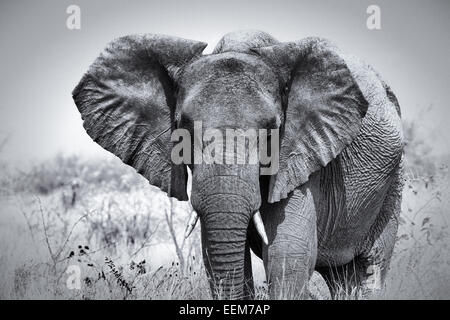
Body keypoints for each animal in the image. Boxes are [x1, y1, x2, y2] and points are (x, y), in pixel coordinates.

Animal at [72, 30, 402, 300]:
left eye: (271, 129)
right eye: (183, 127)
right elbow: (217, 251)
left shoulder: (303, 156)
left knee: (369, 270)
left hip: (391, 186)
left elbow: (288, 252)